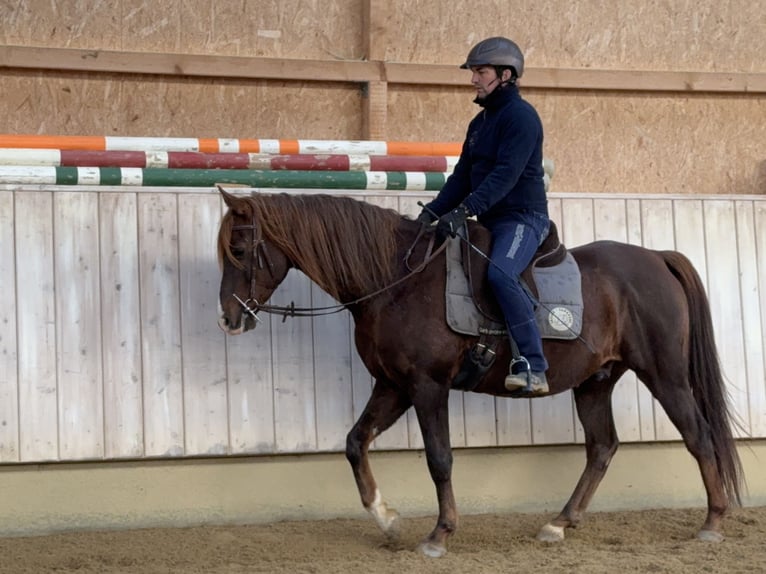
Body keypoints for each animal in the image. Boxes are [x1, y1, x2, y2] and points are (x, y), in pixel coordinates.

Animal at [216, 188, 744, 560]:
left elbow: (439, 459)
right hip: (595, 382)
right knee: (602, 447)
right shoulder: (393, 385)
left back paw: (713, 524)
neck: (396, 280)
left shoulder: (427, 387)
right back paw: (559, 523)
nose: (229, 318)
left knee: (698, 436)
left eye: (239, 249)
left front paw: (439, 534)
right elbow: (354, 442)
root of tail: (656, 257)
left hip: (664, 374)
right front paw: (386, 519)